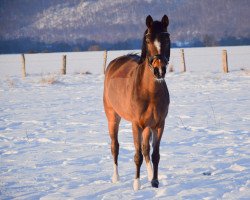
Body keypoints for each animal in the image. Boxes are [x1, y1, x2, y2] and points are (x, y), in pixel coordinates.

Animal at [103, 14, 170, 190]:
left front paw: (154, 182)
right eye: (147, 39)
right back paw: (116, 177)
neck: (149, 92)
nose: (159, 70)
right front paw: (136, 184)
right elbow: (137, 155)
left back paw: (149, 175)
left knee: (146, 149)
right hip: (113, 118)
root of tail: (115, 62)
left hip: (147, 126)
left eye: (167, 37)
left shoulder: (158, 125)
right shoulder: (137, 125)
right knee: (115, 146)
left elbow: (155, 154)